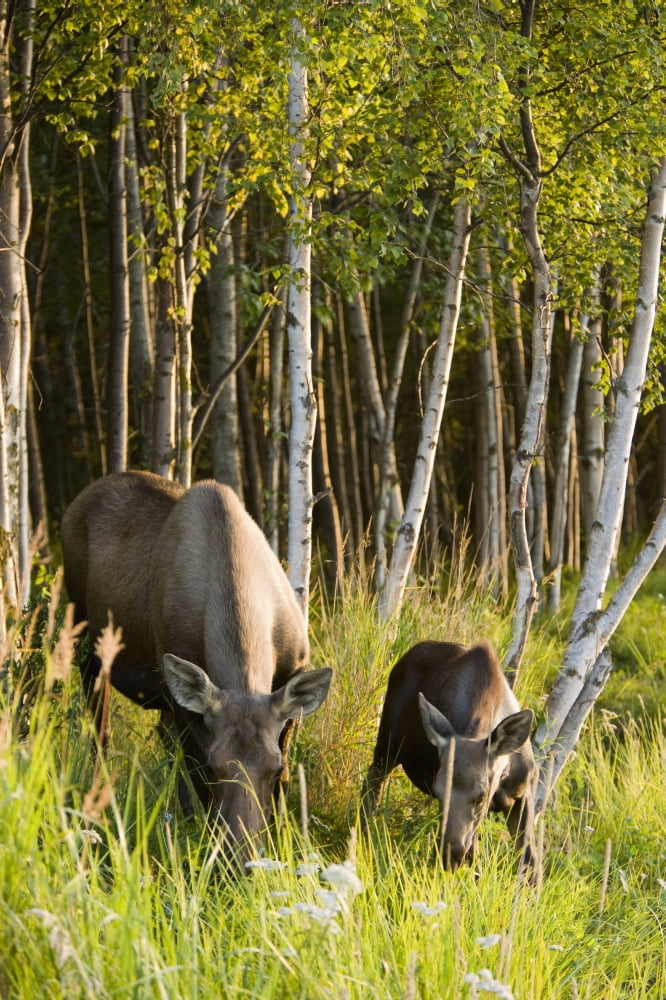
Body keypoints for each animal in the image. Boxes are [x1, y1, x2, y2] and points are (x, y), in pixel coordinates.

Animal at [61, 471, 332, 870]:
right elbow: (195, 773)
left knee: (158, 733)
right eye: (214, 767)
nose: (242, 861)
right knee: (102, 732)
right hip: (87, 643)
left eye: (275, 769)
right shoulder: (184, 706)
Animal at [361, 640, 536, 874]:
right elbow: (475, 864)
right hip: (387, 743)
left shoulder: (523, 793)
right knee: (372, 785)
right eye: (438, 792)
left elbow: (531, 864)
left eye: (481, 795)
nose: (449, 855)